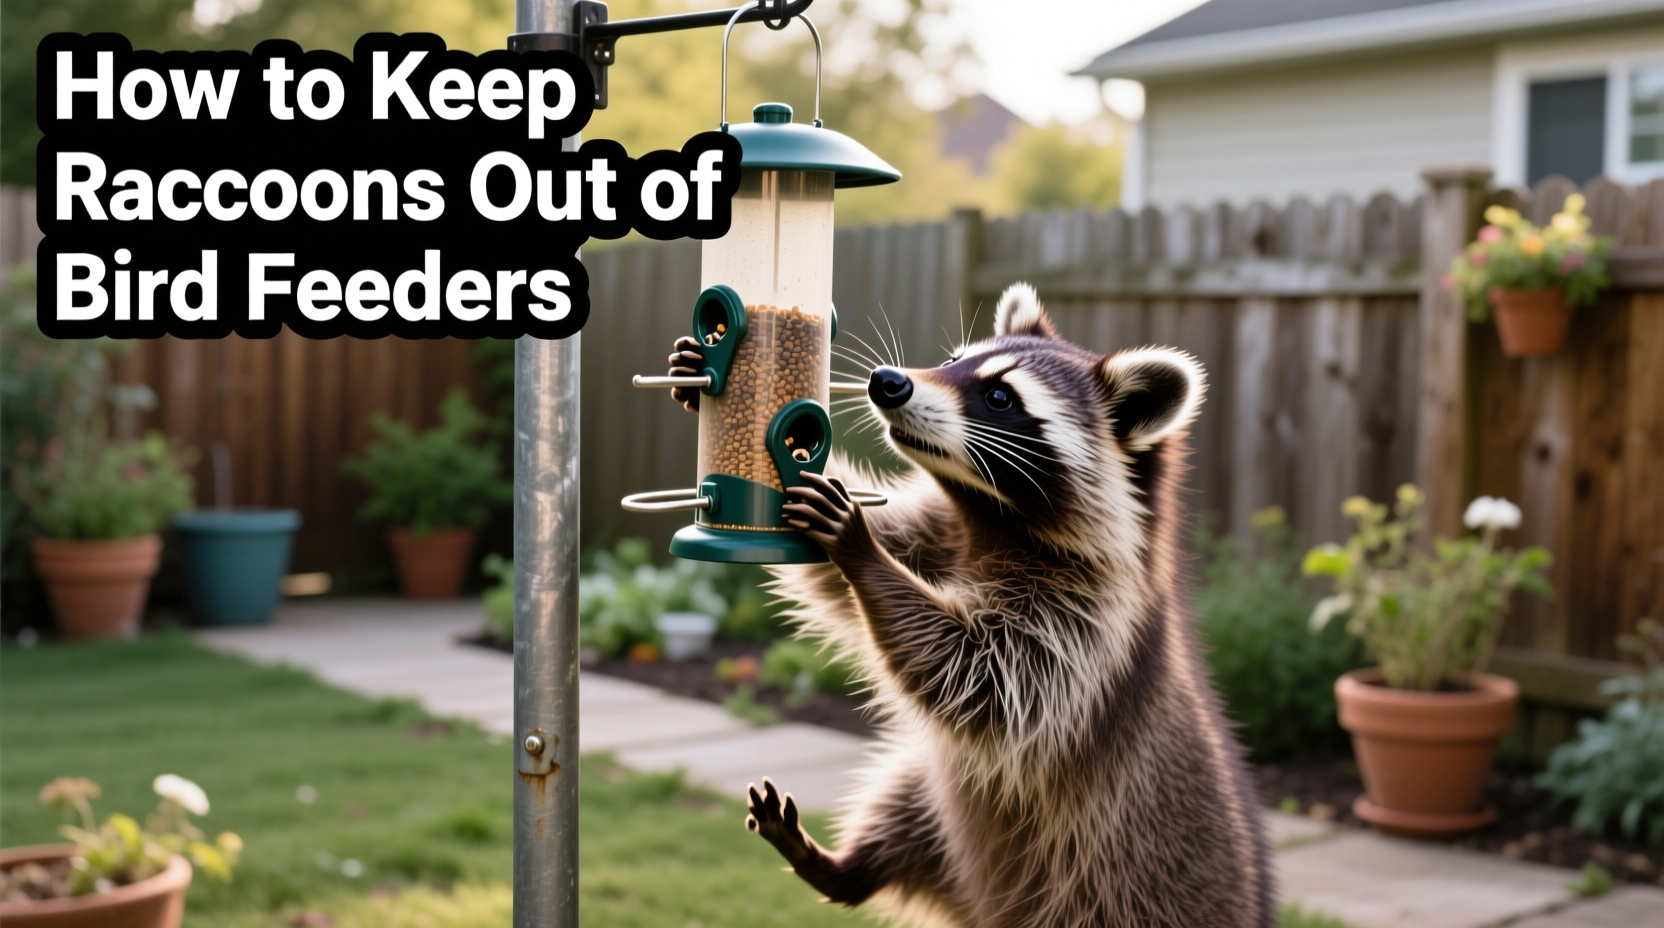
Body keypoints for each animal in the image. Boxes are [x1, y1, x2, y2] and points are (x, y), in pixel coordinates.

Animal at [666, 283, 1272, 928]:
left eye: (1001, 396)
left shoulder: (1090, 618)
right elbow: (854, 574)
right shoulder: (944, 532)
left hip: (1115, 889)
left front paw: (861, 548)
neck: (991, 516)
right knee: (906, 803)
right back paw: (844, 868)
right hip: (937, 810)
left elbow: (984, 675)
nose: (888, 381)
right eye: (954, 359)